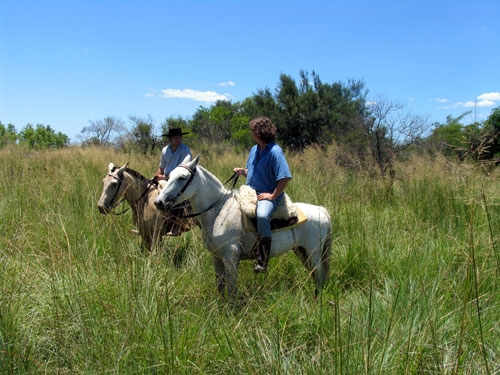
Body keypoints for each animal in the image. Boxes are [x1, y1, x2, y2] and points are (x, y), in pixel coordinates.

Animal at [153, 156, 332, 300]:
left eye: (182, 177)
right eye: (169, 176)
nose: (158, 202)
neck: (218, 211)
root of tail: (322, 210)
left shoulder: (231, 257)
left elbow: (231, 289)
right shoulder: (216, 257)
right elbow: (220, 286)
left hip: (314, 253)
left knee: (320, 276)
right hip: (302, 252)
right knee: (316, 276)